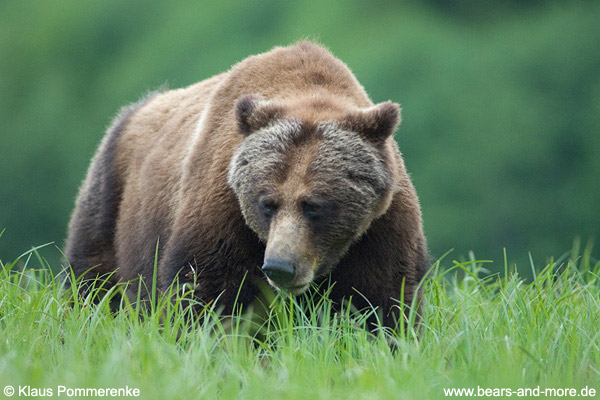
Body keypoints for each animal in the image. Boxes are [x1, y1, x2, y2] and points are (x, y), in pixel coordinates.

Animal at [65, 39, 428, 328]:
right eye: (267, 203)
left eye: (314, 206)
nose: (280, 266)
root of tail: (133, 110)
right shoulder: (223, 205)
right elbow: (207, 289)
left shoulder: (380, 225)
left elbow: (380, 299)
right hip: (112, 196)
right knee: (93, 279)